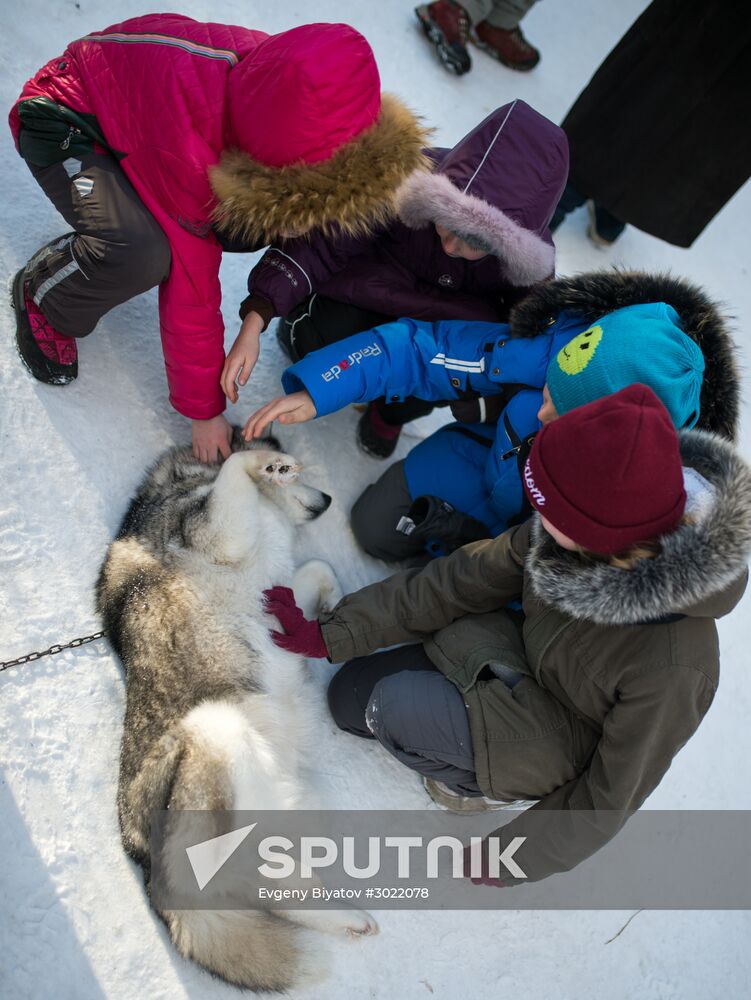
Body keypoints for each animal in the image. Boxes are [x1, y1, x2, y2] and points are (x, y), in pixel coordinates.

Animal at [97, 434, 378, 988]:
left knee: (276, 887)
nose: (327, 501)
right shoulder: (216, 529)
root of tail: (151, 876)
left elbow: (316, 570)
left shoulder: (278, 585)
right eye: (299, 475)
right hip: (216, 730)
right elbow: (236, 468)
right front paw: (264, 463)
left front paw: (329, 612)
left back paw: (347, 919)